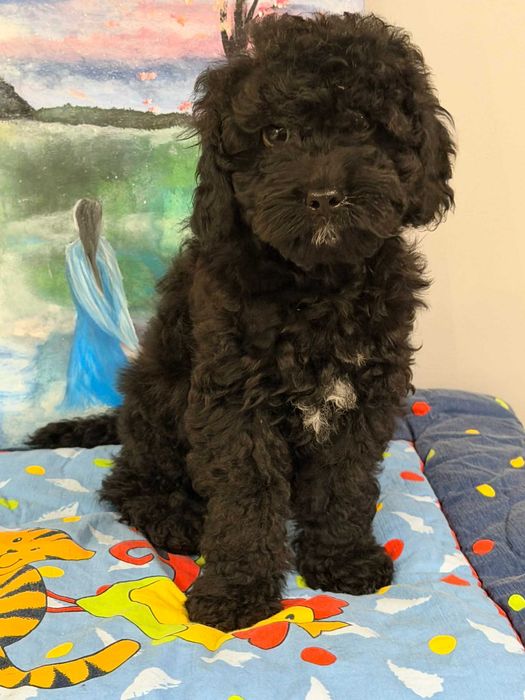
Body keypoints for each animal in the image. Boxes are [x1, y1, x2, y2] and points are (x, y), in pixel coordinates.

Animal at [28, 12, 455, 632]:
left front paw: (342, 558)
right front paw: (237, 590)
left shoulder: (365, 392)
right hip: (158, 396)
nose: (324, 197)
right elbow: (246, 495)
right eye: (275, 135)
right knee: (130, 479)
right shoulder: (233, 400)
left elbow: (345, 481)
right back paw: (178, 520)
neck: (315, 285)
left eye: (363, 127)